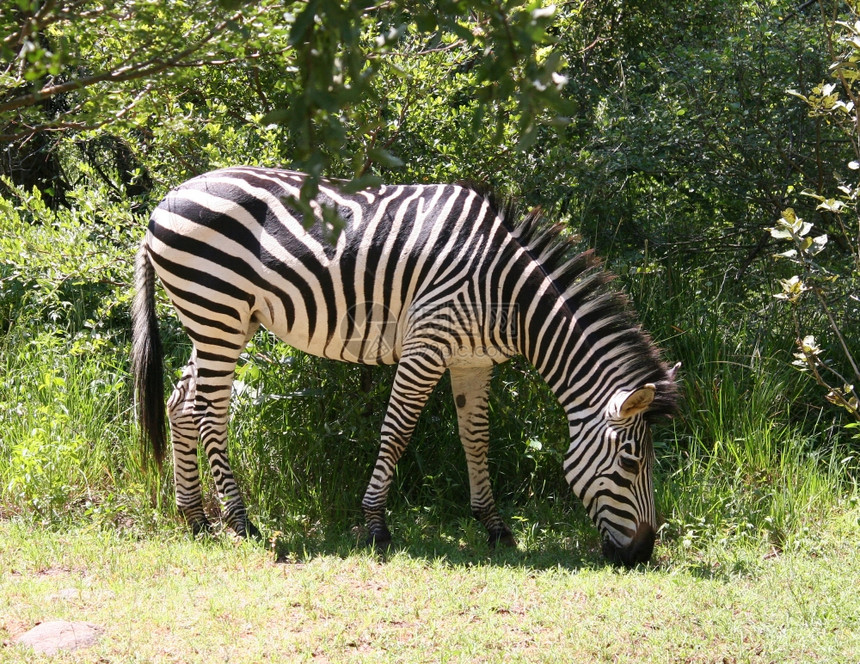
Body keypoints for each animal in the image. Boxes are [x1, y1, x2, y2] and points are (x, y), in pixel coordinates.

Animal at [133, 165, 680, 564]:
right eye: (632, 464)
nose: (642, 554)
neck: (507, 296)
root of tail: (163, 204)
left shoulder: (474, 361)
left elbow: (475, 439)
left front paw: (494, 526)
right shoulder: (428, 341)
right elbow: (397, 431)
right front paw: (376, 525)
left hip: (221, 320)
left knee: (181, 404)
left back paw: (195, 519)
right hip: (217, 311)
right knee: (209, 414)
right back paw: (241, 523)